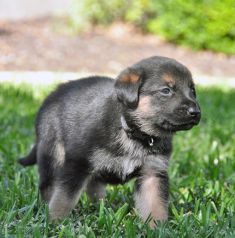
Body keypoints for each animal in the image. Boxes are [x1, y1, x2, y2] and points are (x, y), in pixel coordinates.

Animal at [19, 55, 201, 227]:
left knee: (94, 186)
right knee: (48, 187)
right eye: (166, 90)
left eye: (192, 90)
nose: (196, 112)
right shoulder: (77, 164)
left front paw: (157, 228)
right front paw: (54, 223)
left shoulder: (153, 173)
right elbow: (63, 199)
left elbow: (155, 205)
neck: (131, 131)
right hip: (52, 154)